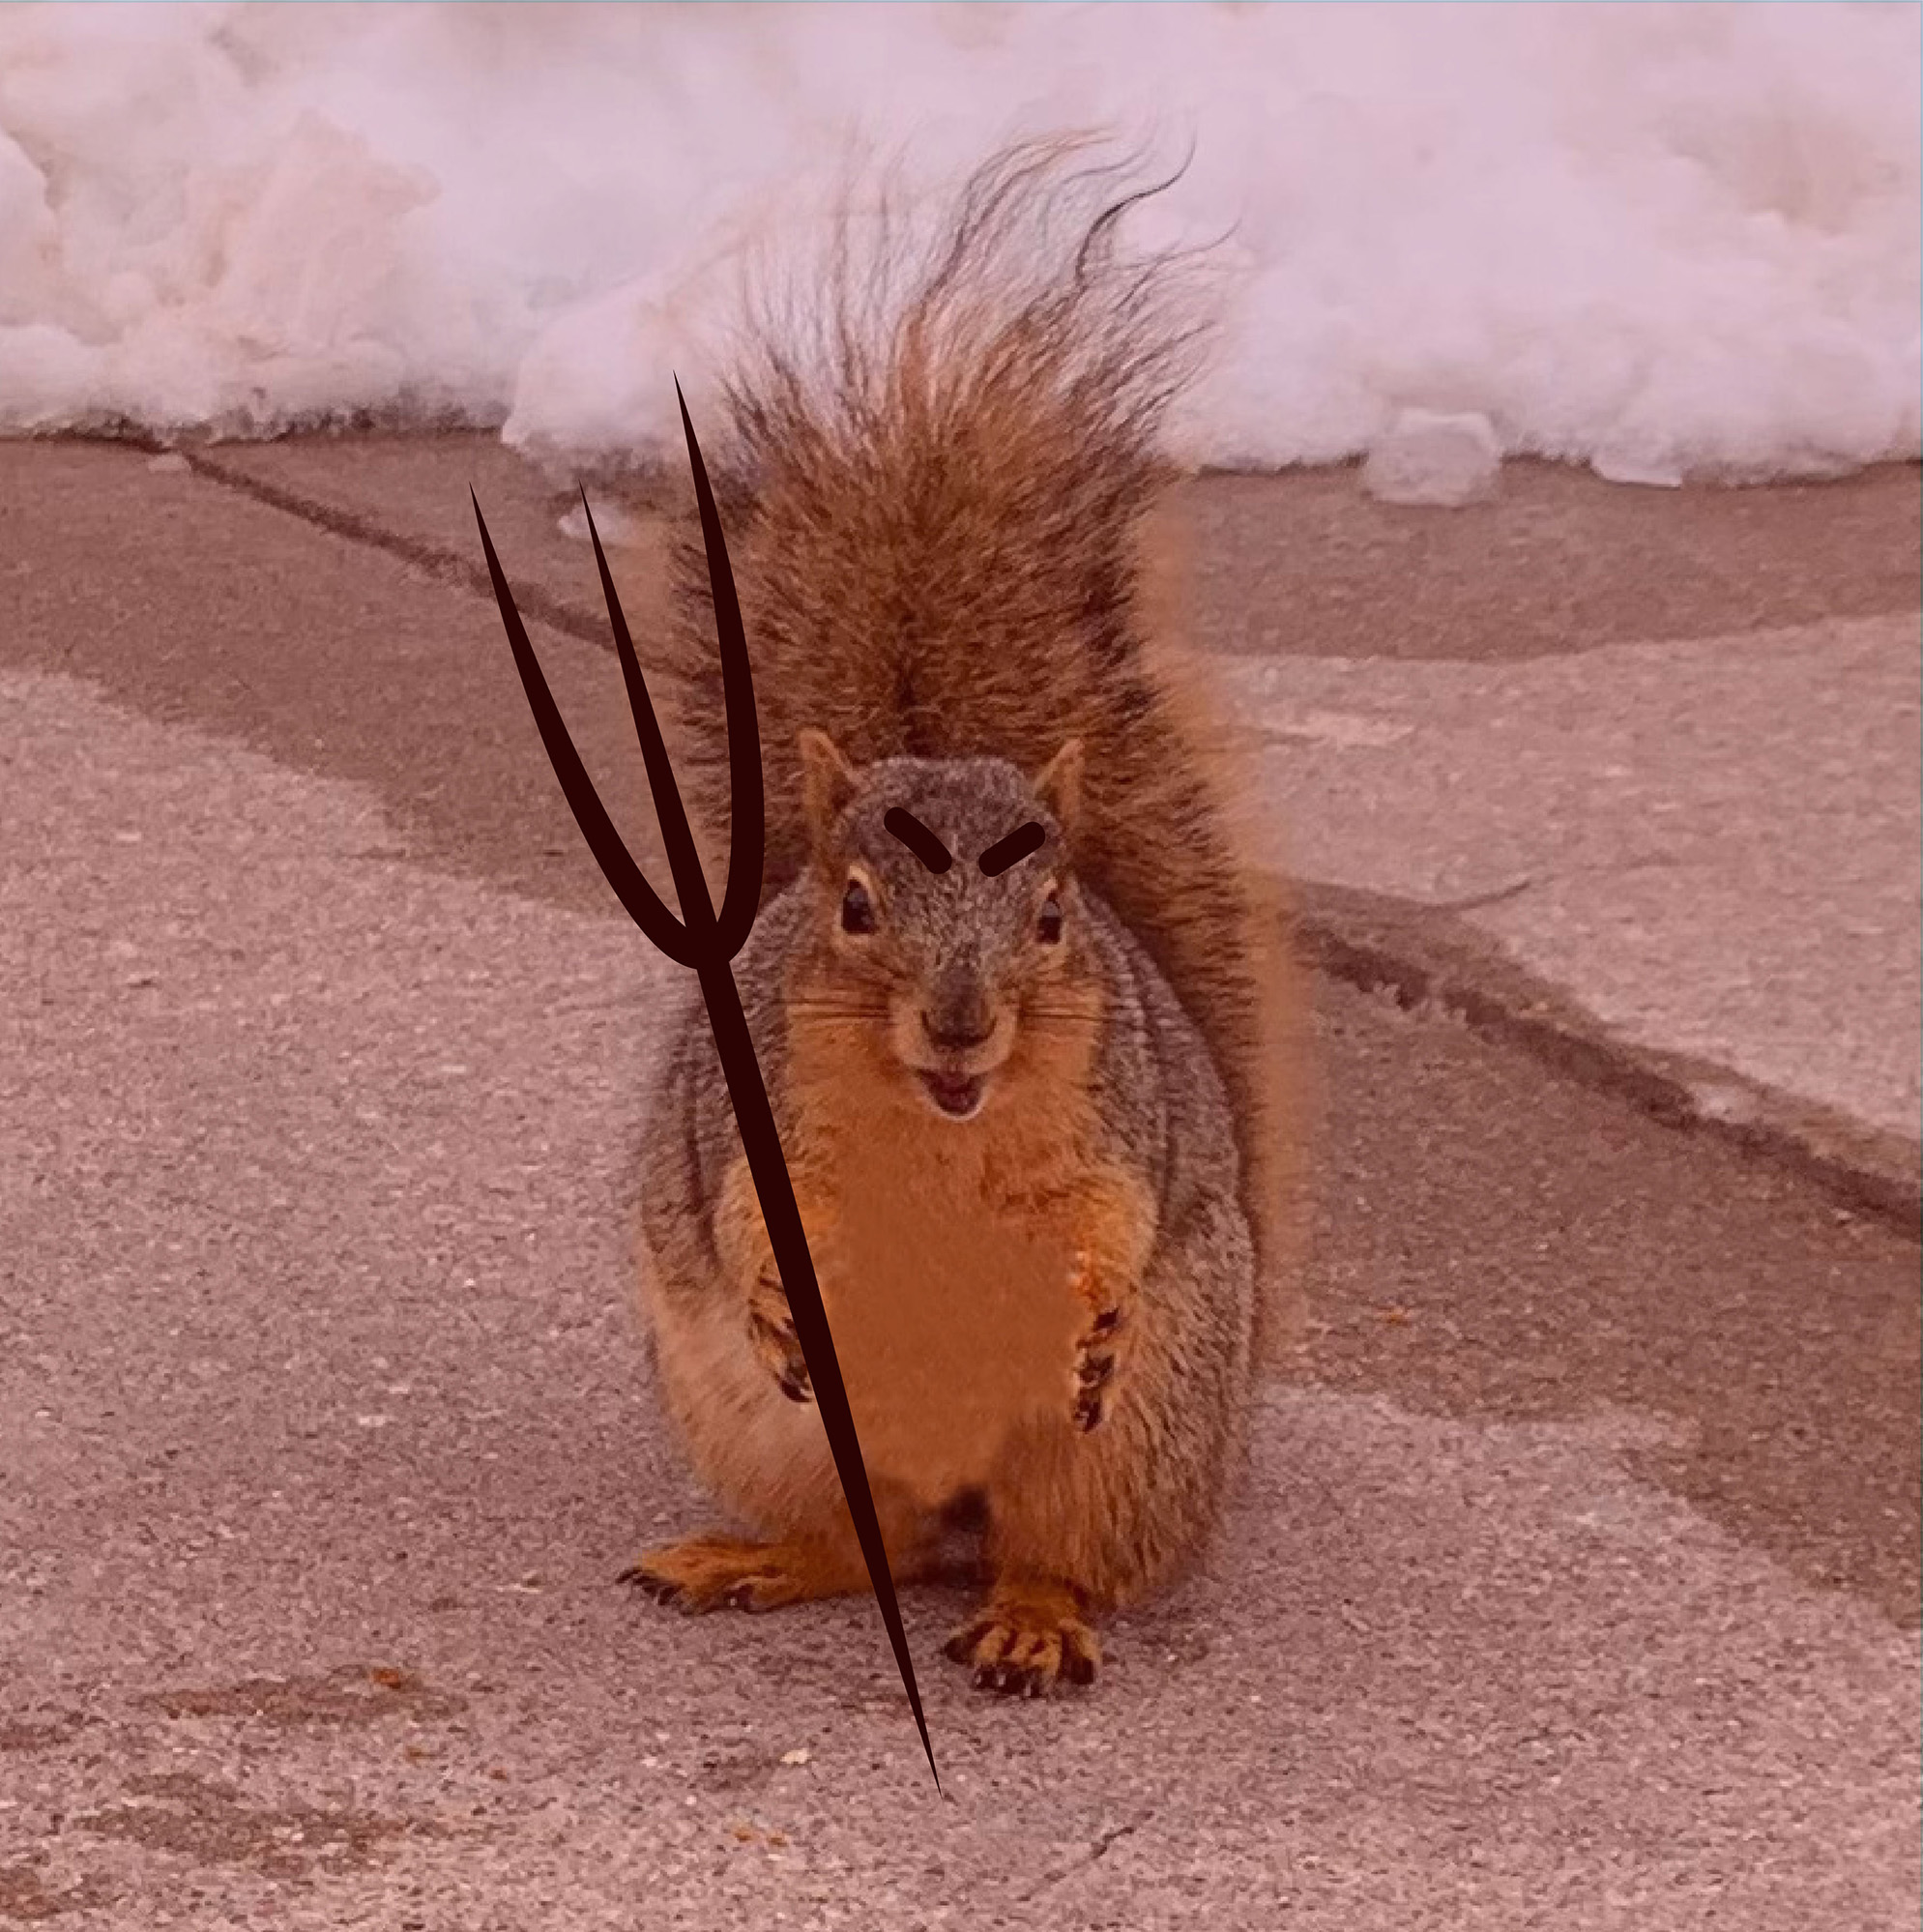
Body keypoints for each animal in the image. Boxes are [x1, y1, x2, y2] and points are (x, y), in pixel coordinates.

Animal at [622, 135, 1298, 1700]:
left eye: (1052, 916)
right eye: (854, 904)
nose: (960, 1019)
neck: (935, 1124)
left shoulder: (1121, 1113)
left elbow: (1117, 1213)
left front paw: (1098, 1298)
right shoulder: (752, 1102)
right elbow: (746, 1210)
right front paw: (772, 1282)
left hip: (1128, 1442)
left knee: (1047, 1550)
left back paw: (1031, 1618)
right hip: (774, 1426)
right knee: (864, 1541)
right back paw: (755, 1560)